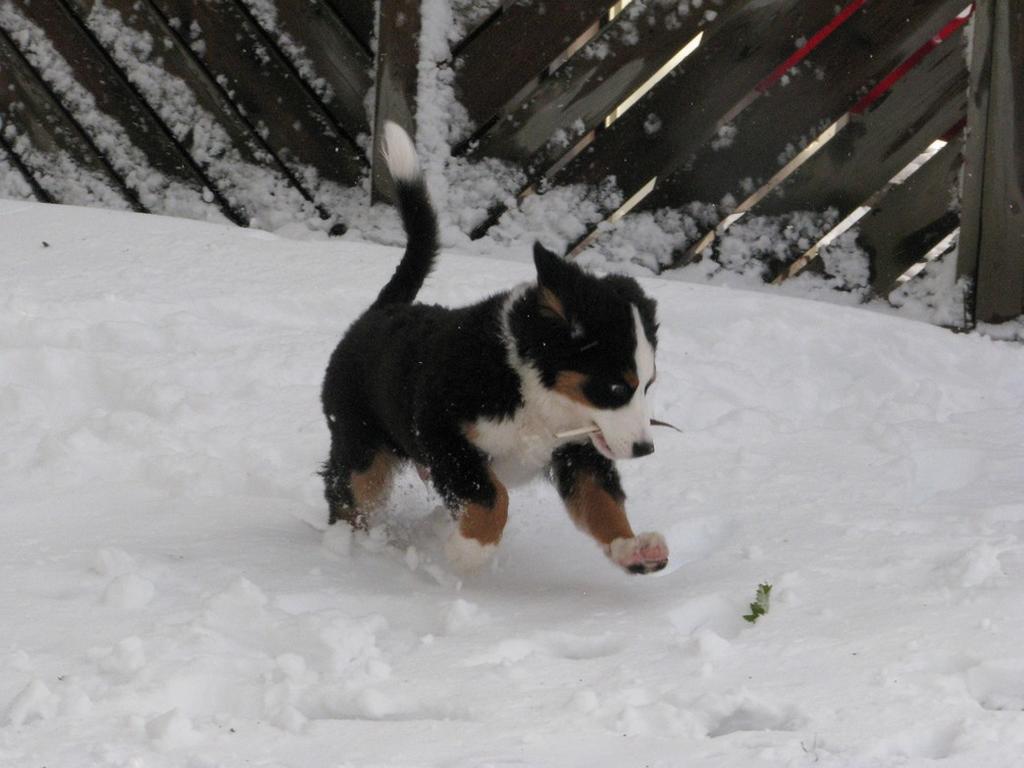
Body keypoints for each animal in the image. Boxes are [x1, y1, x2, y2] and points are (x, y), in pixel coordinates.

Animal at [321, 121, 671, 577]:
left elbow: (601, 501)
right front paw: (469, 550)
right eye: (615, 388)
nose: (645, 450)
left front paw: (633, 548)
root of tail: (383, 309)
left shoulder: (578, 451)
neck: (535, 393)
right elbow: (492, 495)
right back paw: (350, 548)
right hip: (359, 439)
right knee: (347, 488)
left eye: (648, 386)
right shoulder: (443, 433)